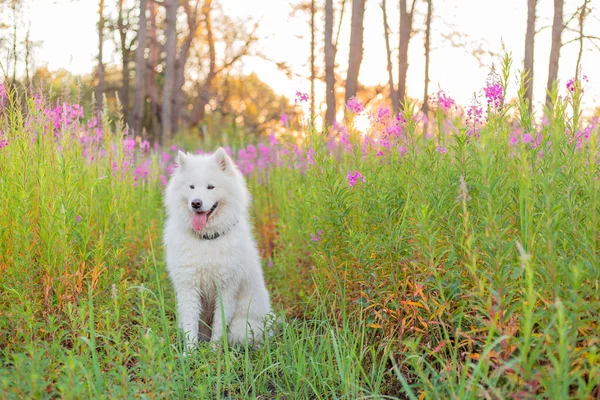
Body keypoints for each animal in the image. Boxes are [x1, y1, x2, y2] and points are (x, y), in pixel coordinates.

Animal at [162, 148, 270, 348]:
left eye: (210, 187)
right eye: (191, 187)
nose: (196, 203)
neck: (206, 239)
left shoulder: (226, 289)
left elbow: (219, 327)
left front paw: (214, 352)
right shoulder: (189, 287)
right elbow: (190, 328)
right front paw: (190, 353)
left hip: (242, 328)